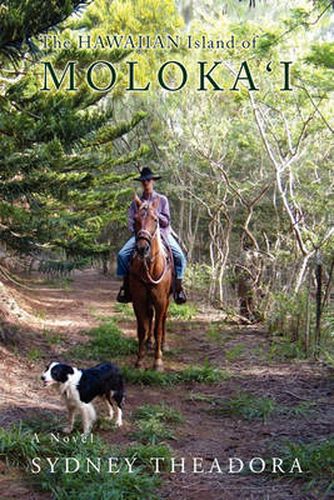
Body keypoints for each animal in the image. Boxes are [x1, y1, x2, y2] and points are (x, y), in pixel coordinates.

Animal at [129, 195, 174, 372]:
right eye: (135, 219)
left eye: (155, 220)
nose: (142, 248)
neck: (151, 267)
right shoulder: (139, 299)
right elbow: (142, 328)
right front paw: (139, 361)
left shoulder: (161, 300)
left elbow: (158, 329)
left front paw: (158, 362)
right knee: (150, 317)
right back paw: (149, 343)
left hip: (167, 299)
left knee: (162, 320)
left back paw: (163, 345)